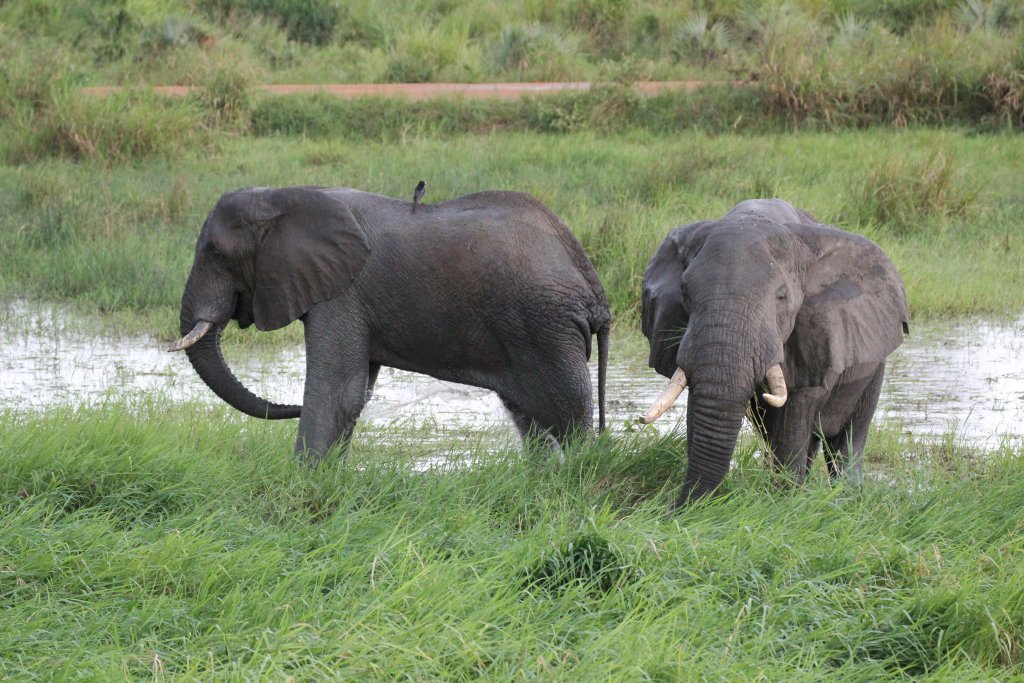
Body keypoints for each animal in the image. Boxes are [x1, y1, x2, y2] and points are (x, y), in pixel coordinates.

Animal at [170, 185, 611, 462]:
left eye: (215, 253)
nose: (289, 407)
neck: (280, 196)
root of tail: (592, 285)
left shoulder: (341, 293)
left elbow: (338, 392)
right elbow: (355, 394)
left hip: (543, 324)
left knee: (568, 412)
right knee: (529, 417)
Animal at [639, 199, 909, 509]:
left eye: (782, 297)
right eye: (685, 292)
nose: (671, 507)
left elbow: (793, 417)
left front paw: (784, 503)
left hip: (872, 361)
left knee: (847, 439)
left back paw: (848, 496)